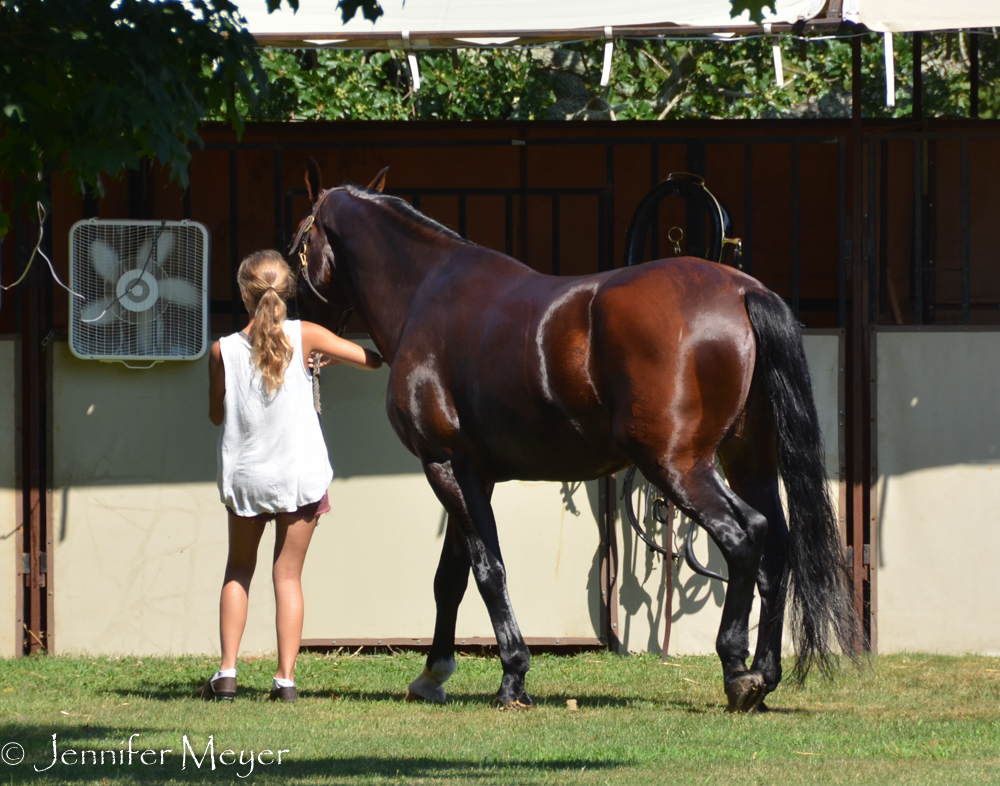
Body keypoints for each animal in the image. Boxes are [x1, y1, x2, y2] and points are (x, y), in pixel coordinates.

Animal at [292, 161, 856, 712]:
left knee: (745, 536)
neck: (425, 293)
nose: (303, 329)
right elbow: (451, 576)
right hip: (749, 460)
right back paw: (765, 674)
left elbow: (487, 568)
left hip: (677, 464)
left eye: (299, 237)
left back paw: (739, 674)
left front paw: (512, 678)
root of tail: (742, 292)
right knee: (777, 546)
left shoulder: (443, 463)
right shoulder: (470, 471)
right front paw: (433, 674)